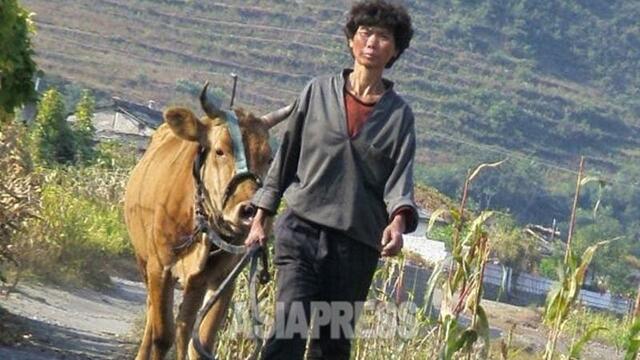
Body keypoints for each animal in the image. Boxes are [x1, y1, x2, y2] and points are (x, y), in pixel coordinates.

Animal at [123, 88, 292, 360]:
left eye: (268, 158)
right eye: (220, 151)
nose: (250, 211)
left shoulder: (223, 279)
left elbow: (200, 341)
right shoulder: (160, 267)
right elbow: (162, 335)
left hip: (194, 283)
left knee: (184, 326)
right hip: (143, 260)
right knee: (154, 315)